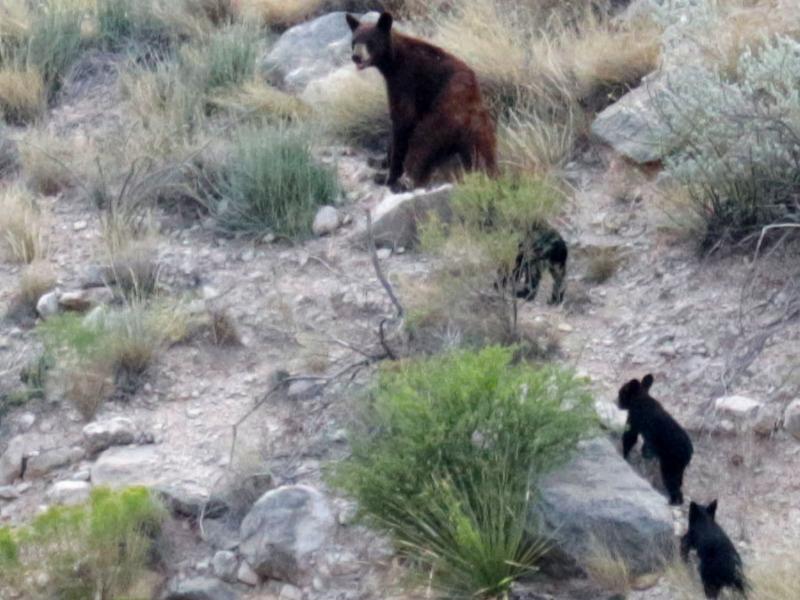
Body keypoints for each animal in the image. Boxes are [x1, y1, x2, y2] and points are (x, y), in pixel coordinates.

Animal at [346, 12, 497, 192]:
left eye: (370, 41)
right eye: (354, 41)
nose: (356, 57)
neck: (394, 62)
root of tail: (468, 120)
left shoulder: (406, 81)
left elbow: (403, 120)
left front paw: (390, 175)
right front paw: (381, 161)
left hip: (444, 116)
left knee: (423, 139)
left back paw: (404, 181)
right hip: (481, 130)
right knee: (484, 154)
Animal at [616, 374, 693, 505]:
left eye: (621, 393)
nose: (617, 402)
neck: (641, 398)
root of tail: (689, 453)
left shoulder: (635, 416)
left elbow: (630, 436)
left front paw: (624, 455)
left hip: (671, 462)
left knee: (671, 480)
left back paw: (673, 501)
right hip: (678, 466)